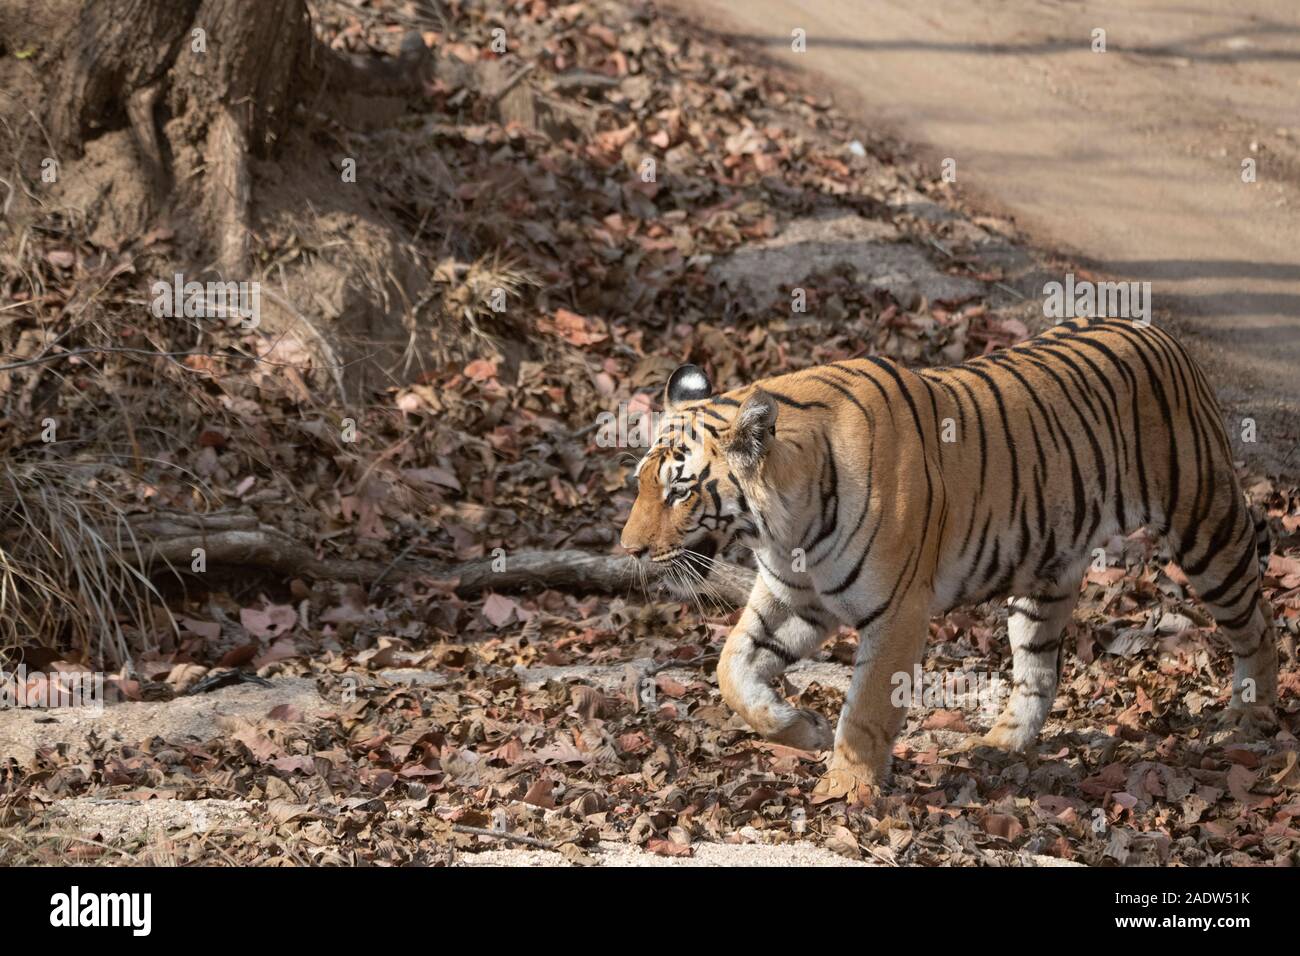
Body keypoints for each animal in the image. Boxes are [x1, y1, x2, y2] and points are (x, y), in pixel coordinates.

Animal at [618, 317, 1279, 796]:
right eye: (641, 483)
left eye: (679, 490)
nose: (629, 550)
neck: (785, 528)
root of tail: (1159, 332)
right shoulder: (794, 597)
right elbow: (732, 667)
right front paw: (801, 729)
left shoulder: (897, 613)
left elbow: (867, 708)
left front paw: (847, 789)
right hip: (1044, 574)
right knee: (1039, 669)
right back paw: (999, 745)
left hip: (1206, 526)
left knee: (1257, 619)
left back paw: (1253, 717)